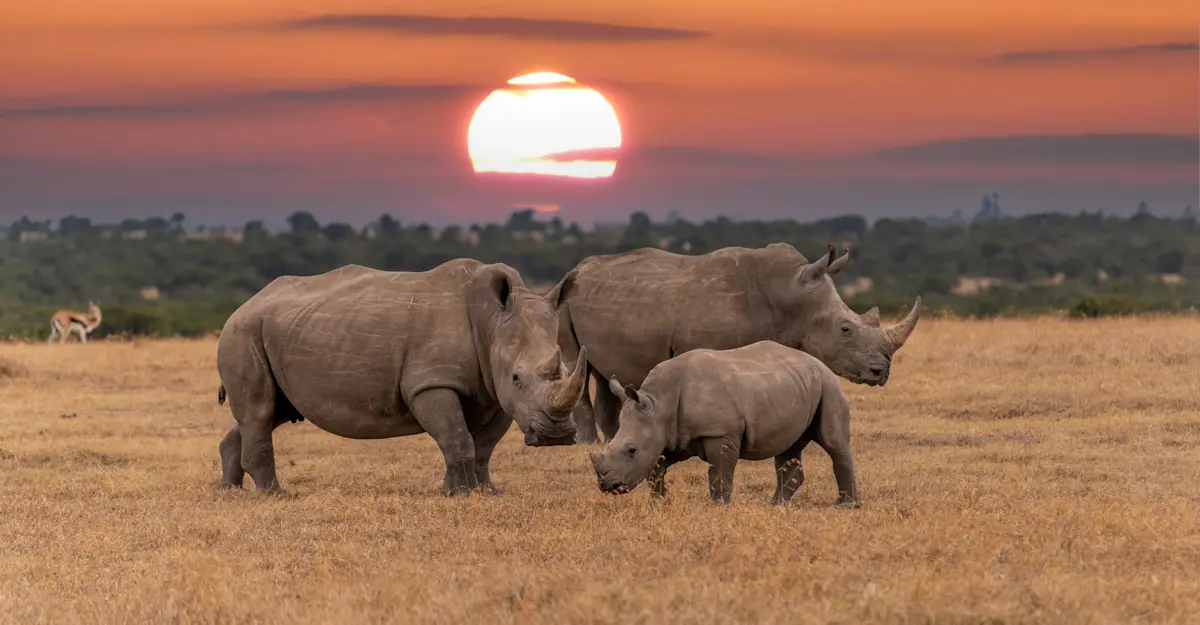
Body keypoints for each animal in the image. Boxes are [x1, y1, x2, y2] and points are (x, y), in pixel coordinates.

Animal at [215, 260, 588, 497]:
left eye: (567, 370)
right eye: (517, 378)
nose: (557, 436)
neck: (491, 322)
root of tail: (247, 303)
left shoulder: (494, 392)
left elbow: (482, 446)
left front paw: (485, 492)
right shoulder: (432, 382)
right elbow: (457, 438)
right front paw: (461, 494)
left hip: (280, 330)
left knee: (270, 412)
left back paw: (229, 490)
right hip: (242, 331)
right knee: (260, 411)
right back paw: (274, 495)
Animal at [548, 242, 920, 443]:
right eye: (845, 330)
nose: (881, 372)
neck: (791, 296)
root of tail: (574, 270)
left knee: (603, 371)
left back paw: (613, 439)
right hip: (563, 301)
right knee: (578, 364)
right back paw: (586, 444)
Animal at [588, 340, 859, 507]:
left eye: (631, 450)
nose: (608, 486)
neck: (659, 402)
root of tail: (818, 361)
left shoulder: (719, 433)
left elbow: (719, 471)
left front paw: (719, 507)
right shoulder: (672, 435)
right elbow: (657, 468)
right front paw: (659, 503)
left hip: (828, 385)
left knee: (834, 443)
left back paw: (847, 506)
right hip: (795, 385)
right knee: (788, 447)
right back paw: (775, 506)